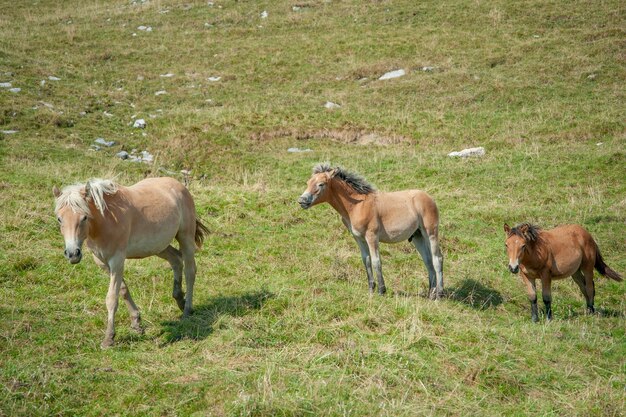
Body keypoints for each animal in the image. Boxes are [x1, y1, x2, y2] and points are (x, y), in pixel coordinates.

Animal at [51, 176, 207, 348]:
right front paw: (136, 323)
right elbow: (123, 290)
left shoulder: (117, 260)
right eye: (59, 219)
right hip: (159, 246)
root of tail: (179, 185)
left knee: (190, 271)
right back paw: (179, 299)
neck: (105, 220)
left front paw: (109, 338)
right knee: (176, 260)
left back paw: (187, 309)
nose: (73, 254)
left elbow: (112, 298)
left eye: (84, 217)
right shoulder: (103, 263)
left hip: (185, 237)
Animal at [298, 162, 442, 296]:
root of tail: (430, 198)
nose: (302, 201)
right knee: (428, 260)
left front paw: (381, 290)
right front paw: (371, 289)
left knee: (437, 258)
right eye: (308, 182)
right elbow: (366, 261)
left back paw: (439, 294)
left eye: (321, 184)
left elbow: (376, 261)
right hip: (417, 236)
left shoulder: (371, 236)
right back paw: (431, 293)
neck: (357, 206)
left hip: (430, 233)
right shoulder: (359, 238)